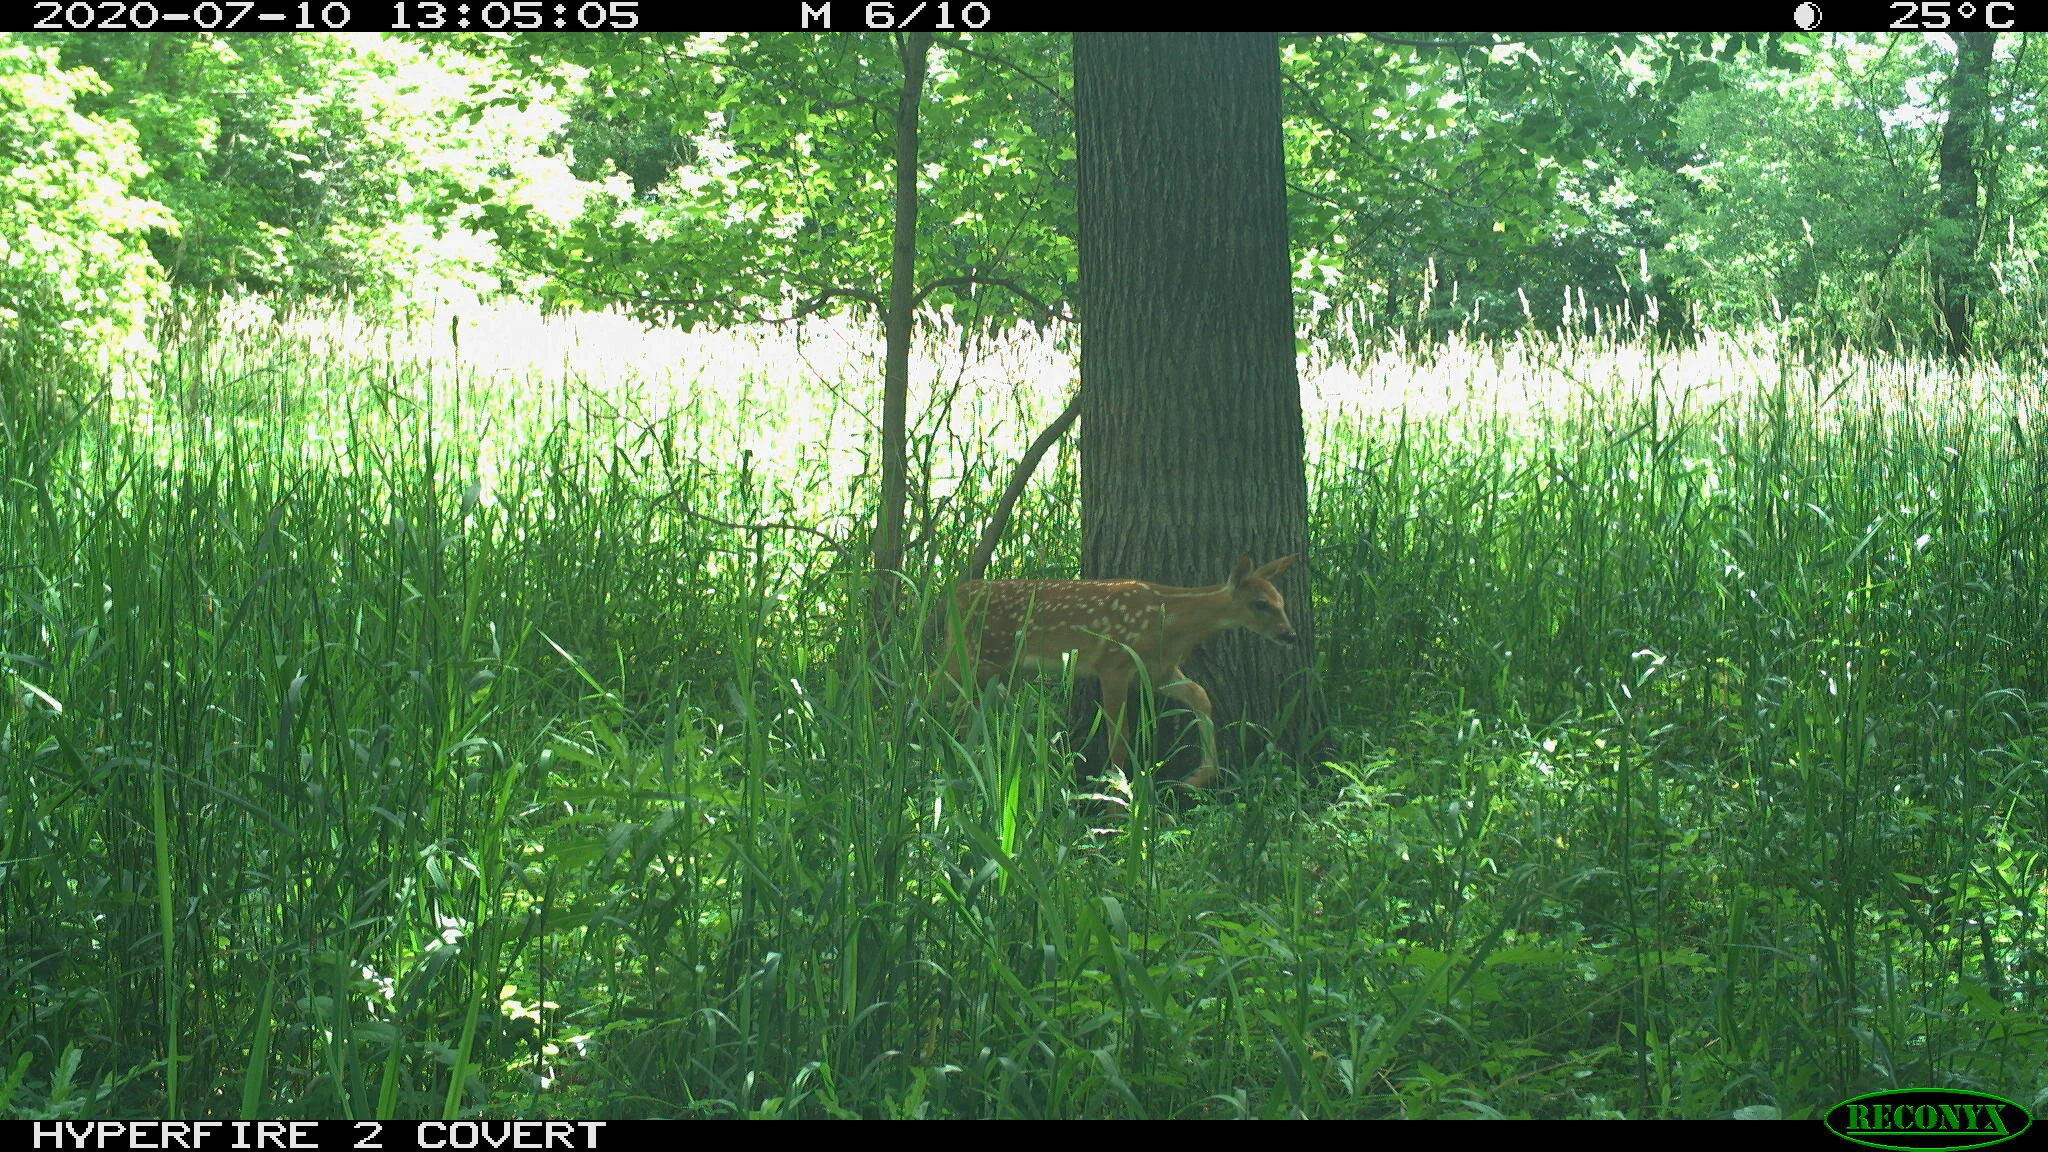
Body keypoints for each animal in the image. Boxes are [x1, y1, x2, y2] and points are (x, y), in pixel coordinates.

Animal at [939, 554, 1301, 789]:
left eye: (1282, 601)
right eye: (1259, 604)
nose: (1290, 635)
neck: (1170, 623)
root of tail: (957, 594)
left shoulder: (1159, 671)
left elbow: (1201, 697)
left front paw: (1197, 777)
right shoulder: (1113, 662)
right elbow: (1118, 738)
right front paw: (1117, 804)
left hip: (1007, 670)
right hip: (973, 656)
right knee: (936, 691)